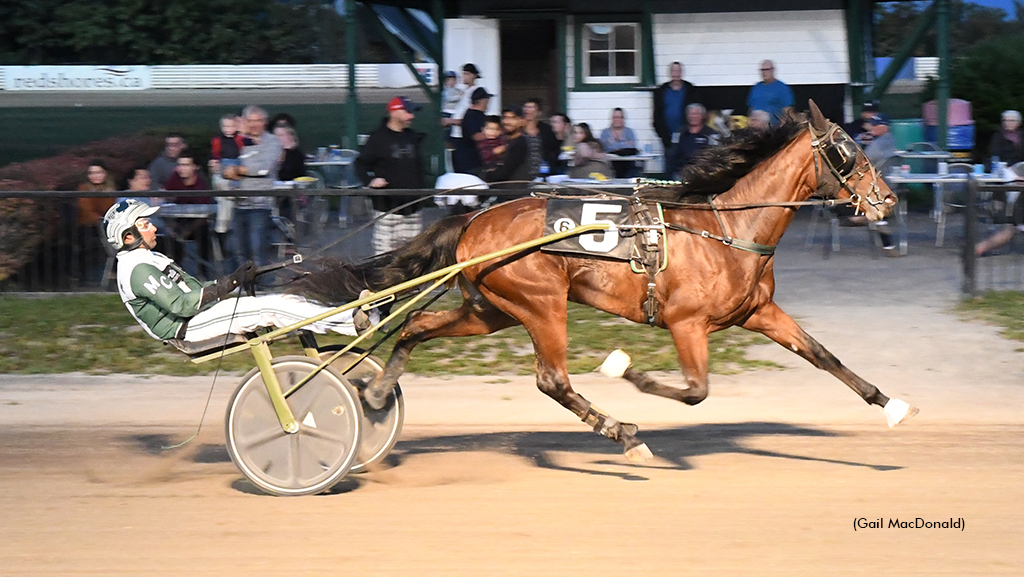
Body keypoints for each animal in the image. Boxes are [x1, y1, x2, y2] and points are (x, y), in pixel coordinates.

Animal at [292, 99, 917, 461]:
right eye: (847, 152)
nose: (887, 200)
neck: (724, 230)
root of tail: (472, 219)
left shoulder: (759, 313)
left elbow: (823, 355)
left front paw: (889, 404)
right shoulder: (686, 323)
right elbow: (696, 390)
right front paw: (626, 370)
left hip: (491, 308)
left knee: (419, 323)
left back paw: (376, 392)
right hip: (542, 304)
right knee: (552, 379)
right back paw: (622, 431)